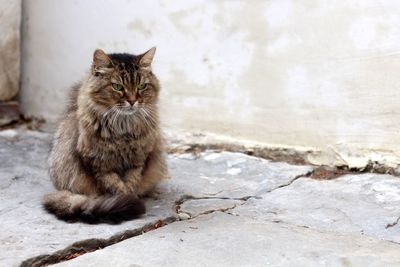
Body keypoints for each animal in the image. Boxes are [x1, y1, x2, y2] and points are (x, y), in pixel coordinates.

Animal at [43, 47, 168, 224]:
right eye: (117, 86)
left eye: (142, 86)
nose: (132, 101)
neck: (123, 127)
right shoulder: (98, 162)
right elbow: (113, 185)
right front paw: (125, 200)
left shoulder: (138, 159)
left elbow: (132, 180)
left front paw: (131, 196)